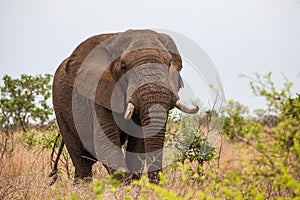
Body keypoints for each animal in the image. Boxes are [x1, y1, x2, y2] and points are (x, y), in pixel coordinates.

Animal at [51, 29, 199, 184]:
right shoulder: (99, 91)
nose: (157, 184)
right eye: (123, 67)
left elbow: (138, 145)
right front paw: (124, 186)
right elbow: (105, 144)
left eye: (169, 64)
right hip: (60, 106)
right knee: (81, 161)